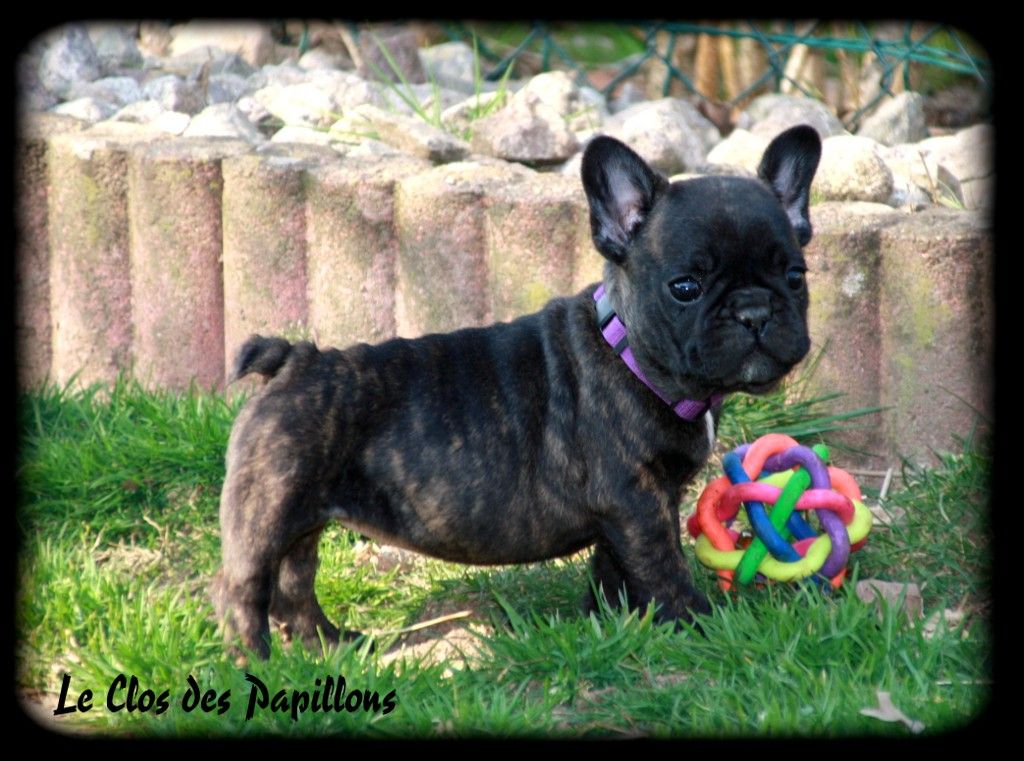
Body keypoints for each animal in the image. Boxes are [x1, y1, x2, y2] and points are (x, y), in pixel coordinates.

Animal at [211, 125, 822, 659]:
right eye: (686, 287)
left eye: (795, 276)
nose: (754, 311)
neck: (629, 353)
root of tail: (293, 359)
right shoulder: (636, 500)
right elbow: (663, 566)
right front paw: (701, 622)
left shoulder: (628, 511)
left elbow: (615, 569)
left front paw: (611, 624)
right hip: (268, 507)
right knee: (244, 589)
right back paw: (256, 664)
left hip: (304, 518)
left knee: (296, 582)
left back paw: (329, 644)